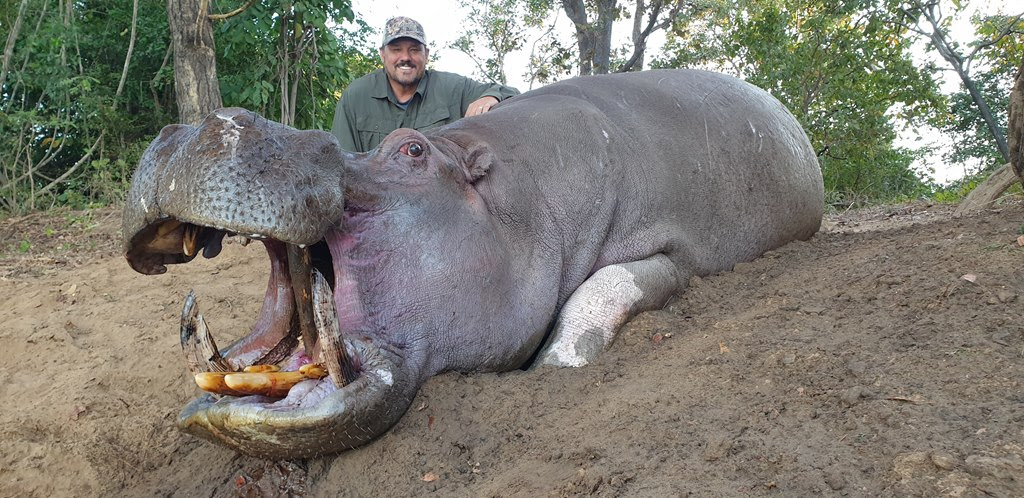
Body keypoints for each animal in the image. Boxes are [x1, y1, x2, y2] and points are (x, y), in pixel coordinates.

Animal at [122, 69, 824, 459]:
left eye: (410, 149)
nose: (200, 125)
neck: (517, 197)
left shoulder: (673, 252)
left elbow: (606, 288)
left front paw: (557, 364)